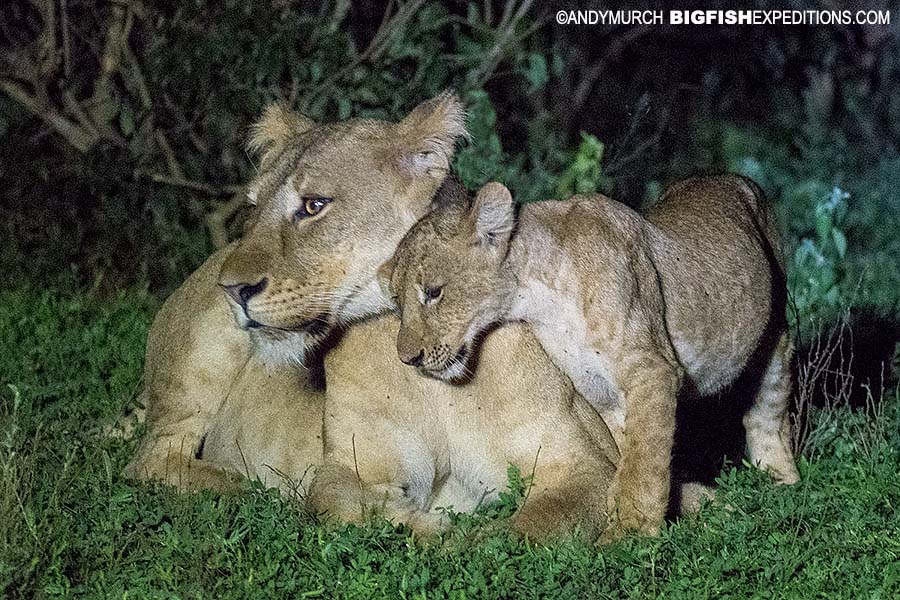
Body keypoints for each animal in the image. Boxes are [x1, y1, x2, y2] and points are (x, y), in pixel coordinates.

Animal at [125, 93, 621, 540]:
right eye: (252, 207)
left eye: (314, 205)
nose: (232, 289)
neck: (430, 381)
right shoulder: (349, 466)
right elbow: (340, 503)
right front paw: (434, 527)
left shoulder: (586, 463)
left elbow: (522, 531)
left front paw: (467, 533)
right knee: (150, 461)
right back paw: (252, 490)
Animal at [379, 177, 800, 536]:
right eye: (397, 301)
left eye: (433, 292)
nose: (408, 358)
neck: (539, 295)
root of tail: (738, 179)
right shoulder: (599, 392)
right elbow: (624, 460)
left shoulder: (652, 371)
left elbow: (643, 466)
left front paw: (627, 538)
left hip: (774, 336)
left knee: (769, 412)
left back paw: (783, 487)